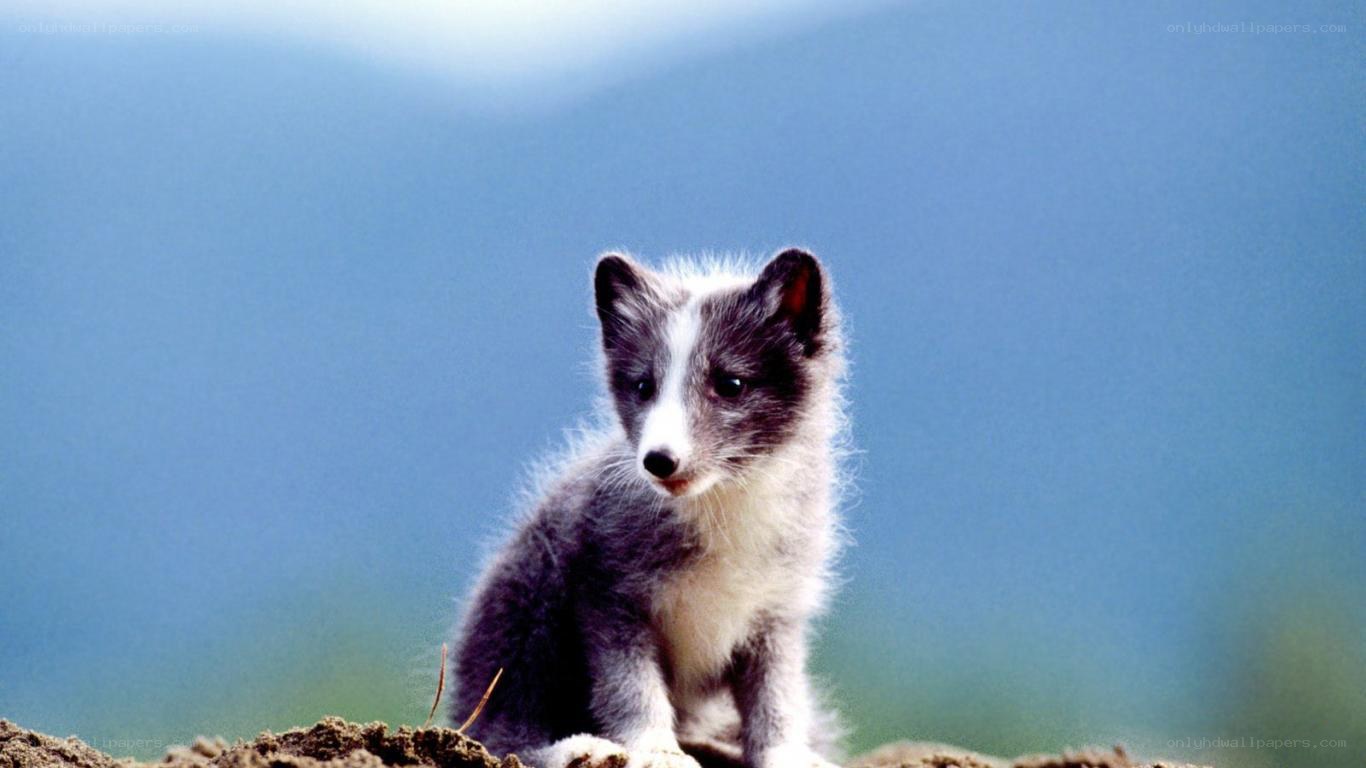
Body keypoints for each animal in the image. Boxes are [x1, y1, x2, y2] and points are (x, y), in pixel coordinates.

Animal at [449, 249, 849, 768]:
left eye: (731, 384)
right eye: (643, 387)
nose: (658, 460)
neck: (720, 506)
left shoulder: (776, 611)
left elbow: (777, 694)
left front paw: (785, 754)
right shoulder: (608, 595)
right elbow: (631, 686)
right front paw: (656, 749)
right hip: (529, 597)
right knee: (498, 732)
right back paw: (579, 750)